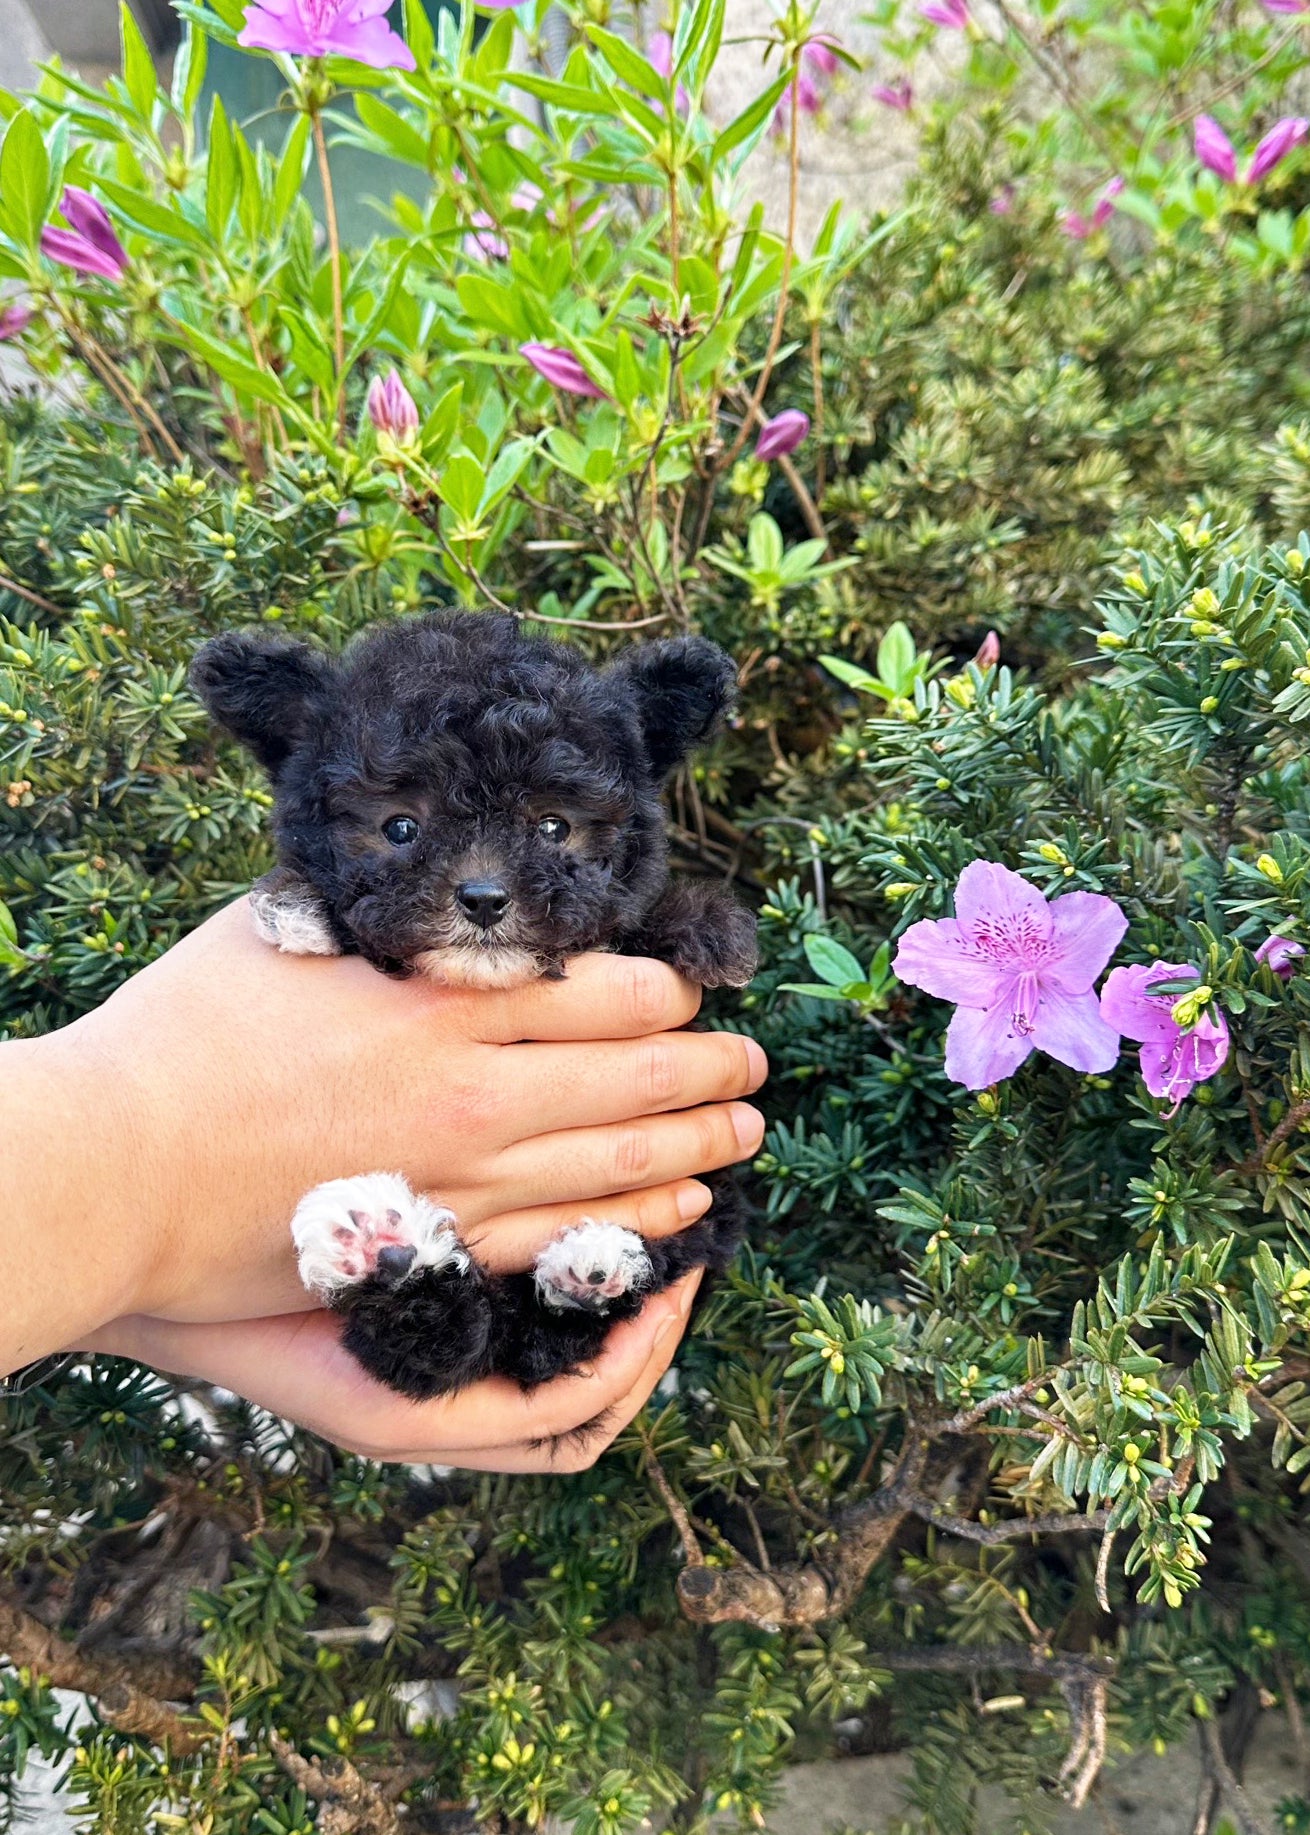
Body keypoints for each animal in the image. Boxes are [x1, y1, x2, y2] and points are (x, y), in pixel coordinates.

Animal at [187, 616, 748, 1401]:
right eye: (399, 827)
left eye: (553, 827)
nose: (483, 898)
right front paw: (298, 907)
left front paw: (709, 930)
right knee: (450, 1342)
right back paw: (381, 1250)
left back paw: (585, 1262)